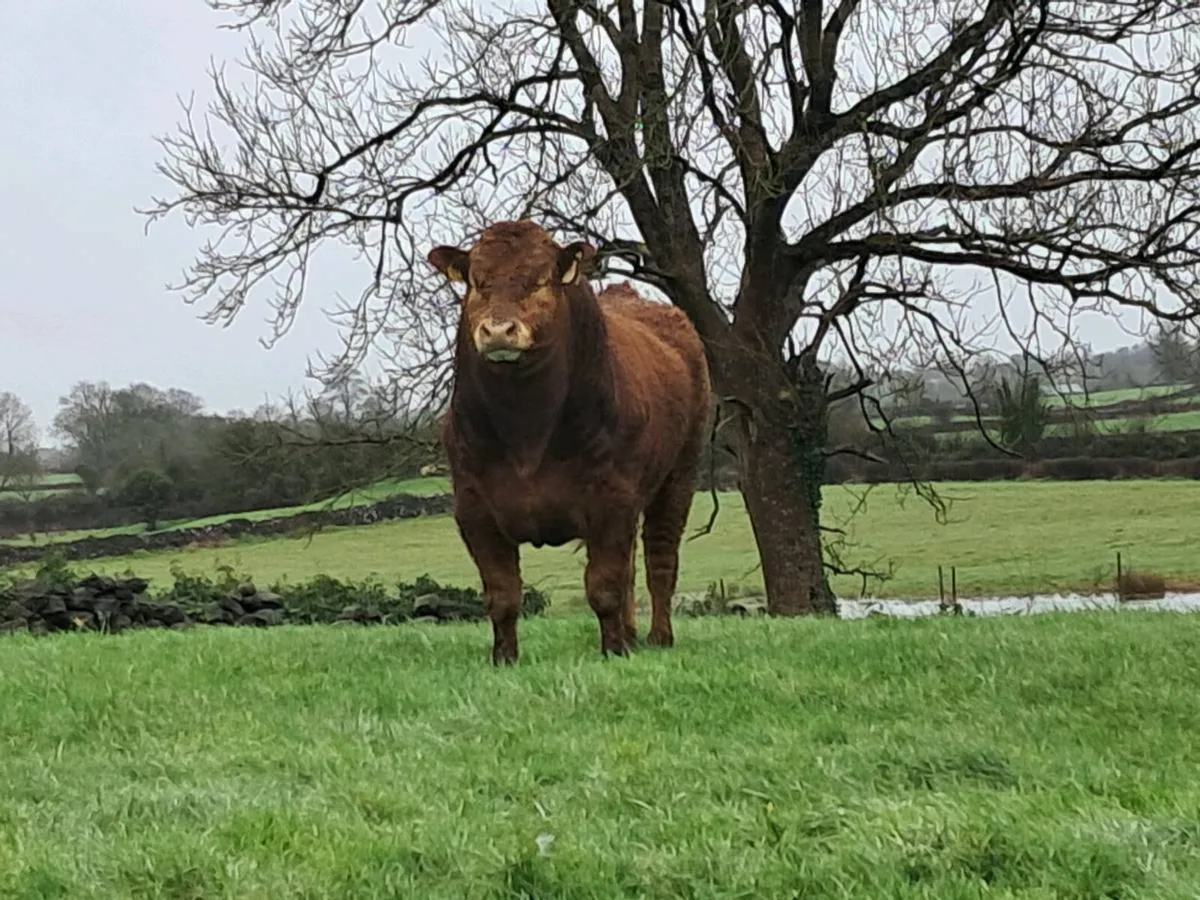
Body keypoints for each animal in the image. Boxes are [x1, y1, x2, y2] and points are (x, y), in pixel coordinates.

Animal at [426, 220, 712, 664]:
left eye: (540, 280)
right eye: (477, 281)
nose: (497, 330)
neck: (526, 430)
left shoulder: (612, 499)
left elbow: (605, 585)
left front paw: (613, 650)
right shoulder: (473, 508)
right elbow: (502, 594)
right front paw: (504, 658)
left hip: (680, 473)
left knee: (660, 556)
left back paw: (658, 636)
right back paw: (632, 634)